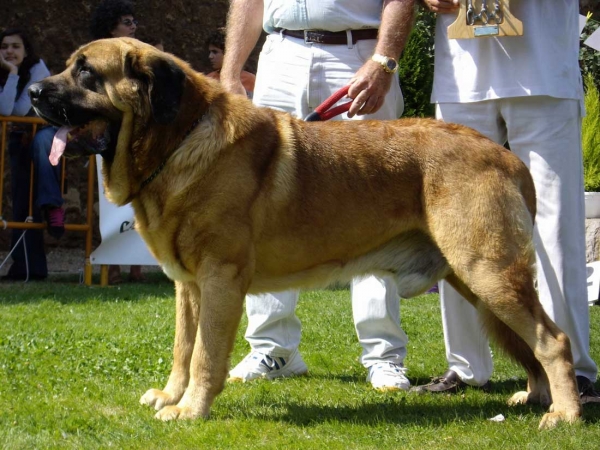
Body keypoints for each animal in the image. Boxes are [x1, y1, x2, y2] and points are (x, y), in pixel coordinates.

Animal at [29, 38, 580, 428]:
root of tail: (506, 157)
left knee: (553, 339)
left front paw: (189, 410)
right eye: (70, 65)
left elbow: (206, 353)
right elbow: (183, 348)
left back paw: (565, 413)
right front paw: (170, 395)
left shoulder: (220, 279)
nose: (34, 92)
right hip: (478, 283)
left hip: (488, 272)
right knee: (532, 342)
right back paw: (536, 396)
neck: (178, 139)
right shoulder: (188, 285)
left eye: (86, 72)